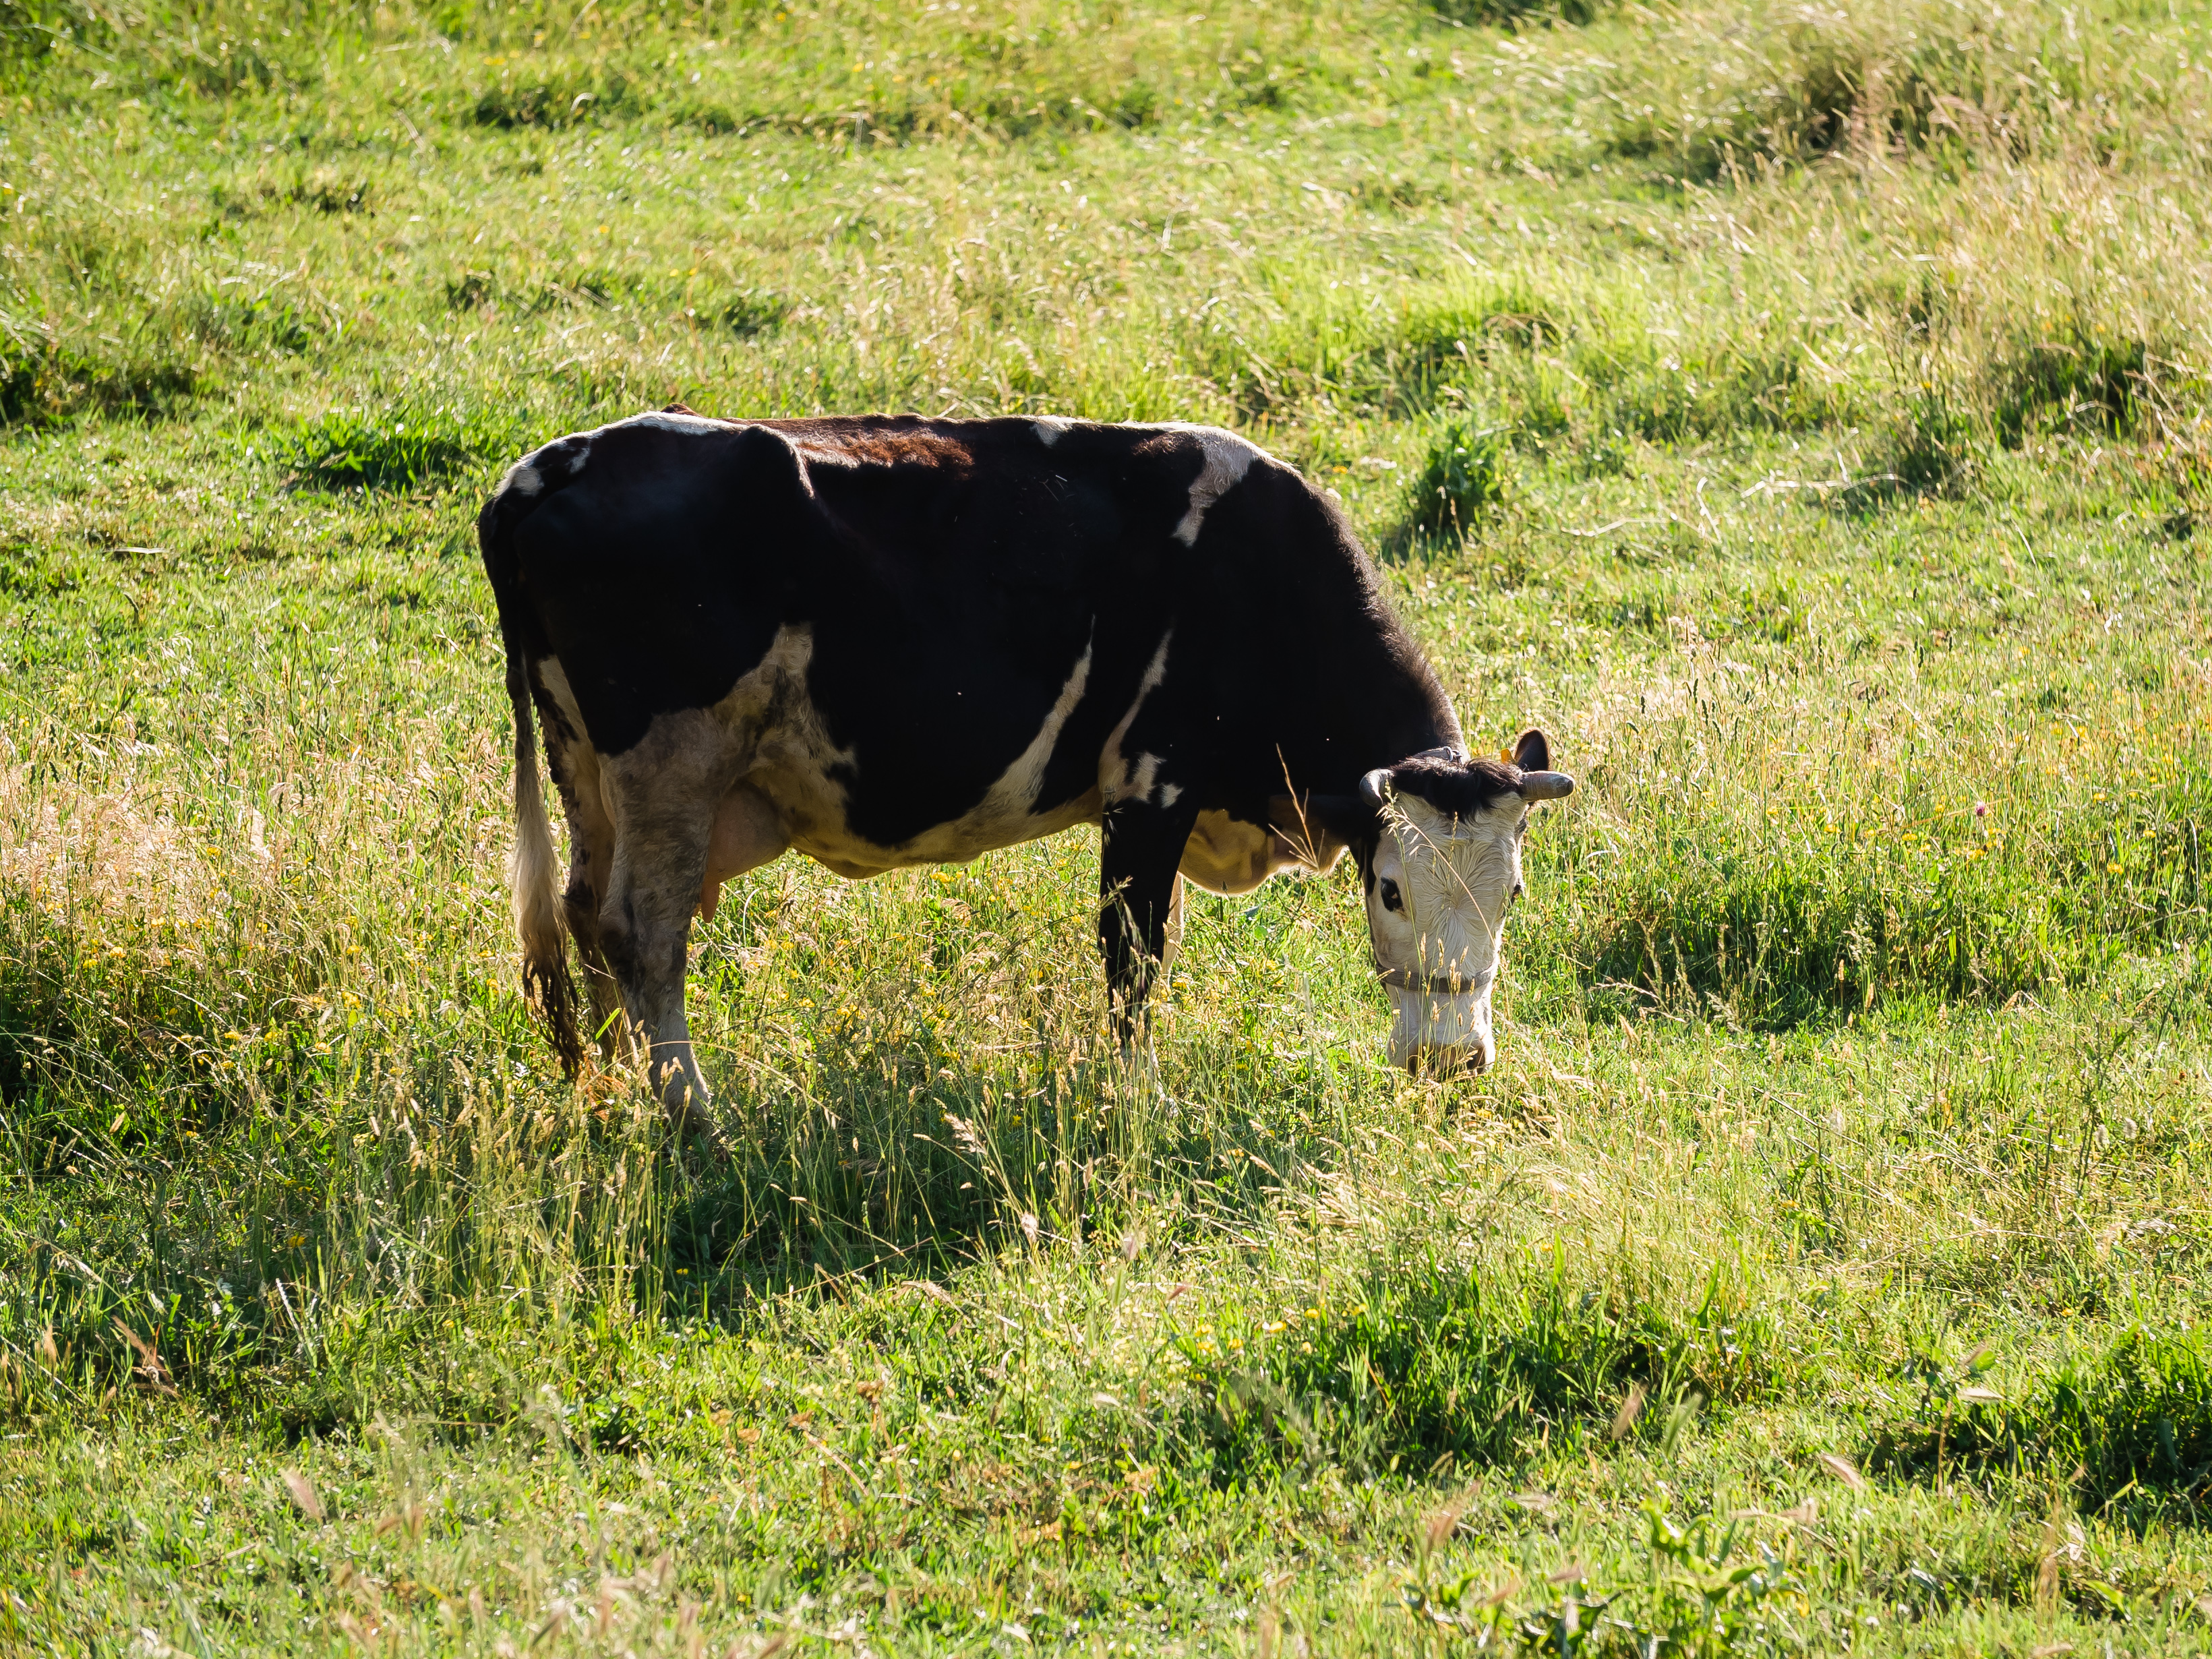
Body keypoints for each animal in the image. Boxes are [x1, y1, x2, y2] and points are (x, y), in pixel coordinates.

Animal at [479, 411, 1575, 1141]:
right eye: (1389, 888)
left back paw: (614, 1087)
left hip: (589, 772)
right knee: (643, 934)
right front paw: (1138, 1098)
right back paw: (692, 1114)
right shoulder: (1149, 788)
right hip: (669, 767)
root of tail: (548, 469)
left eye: (1515, 892)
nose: (1451, 1059)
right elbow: (1134, 957)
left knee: (582, 915)